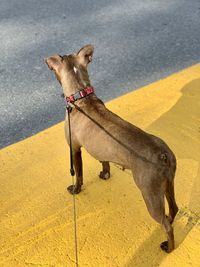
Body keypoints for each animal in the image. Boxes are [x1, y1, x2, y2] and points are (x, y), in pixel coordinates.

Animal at [45, 45, 178, 254]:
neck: (81, 96)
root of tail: (163, 154)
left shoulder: (74, 149)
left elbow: (79, 173)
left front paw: (76, 189)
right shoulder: (102, 150)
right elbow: (105, 162)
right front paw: (105, 175)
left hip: (150, 194)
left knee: (166, 224)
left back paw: (168, 246)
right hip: (168, 184)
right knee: (173, 209)